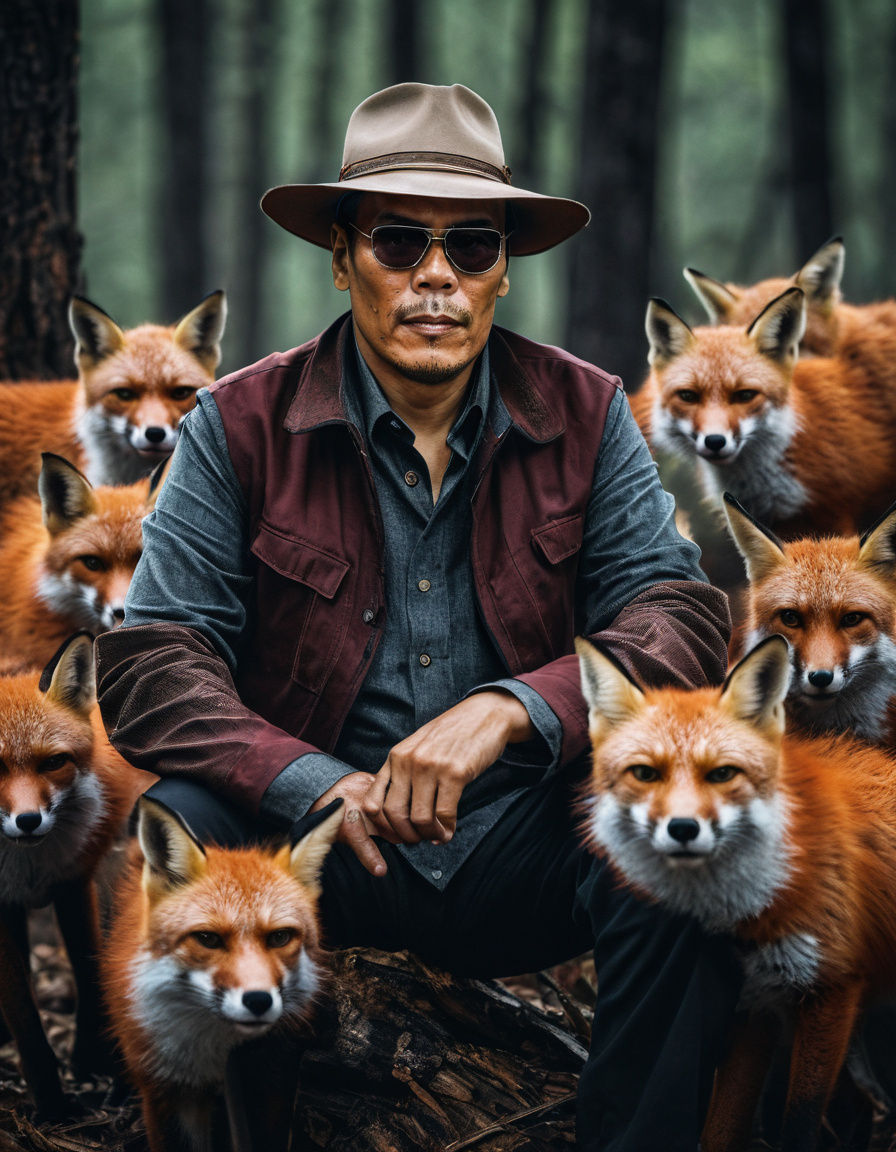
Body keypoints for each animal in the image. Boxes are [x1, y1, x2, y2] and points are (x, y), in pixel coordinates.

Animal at [0, 633, 142, 1119]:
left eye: (53, 763)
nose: (27, 821)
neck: (27, 866)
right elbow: (23, 1010)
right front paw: (51, 1104)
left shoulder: (74, 882)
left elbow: (87, 966)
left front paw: (90, 1058)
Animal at [101, 795, 344, 1152]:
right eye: (208, 938)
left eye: (279, 937)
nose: (258, 1001)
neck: (216, 1053)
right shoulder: (168, 1089)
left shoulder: (269, 1083)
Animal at [576, 633, 896, 1152]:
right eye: (646, 774)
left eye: (722, 774)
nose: (683, 829)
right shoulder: (757, 998)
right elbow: (721, 1128)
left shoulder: (832, 993)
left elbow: (798, 1126)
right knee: (858, 1105)